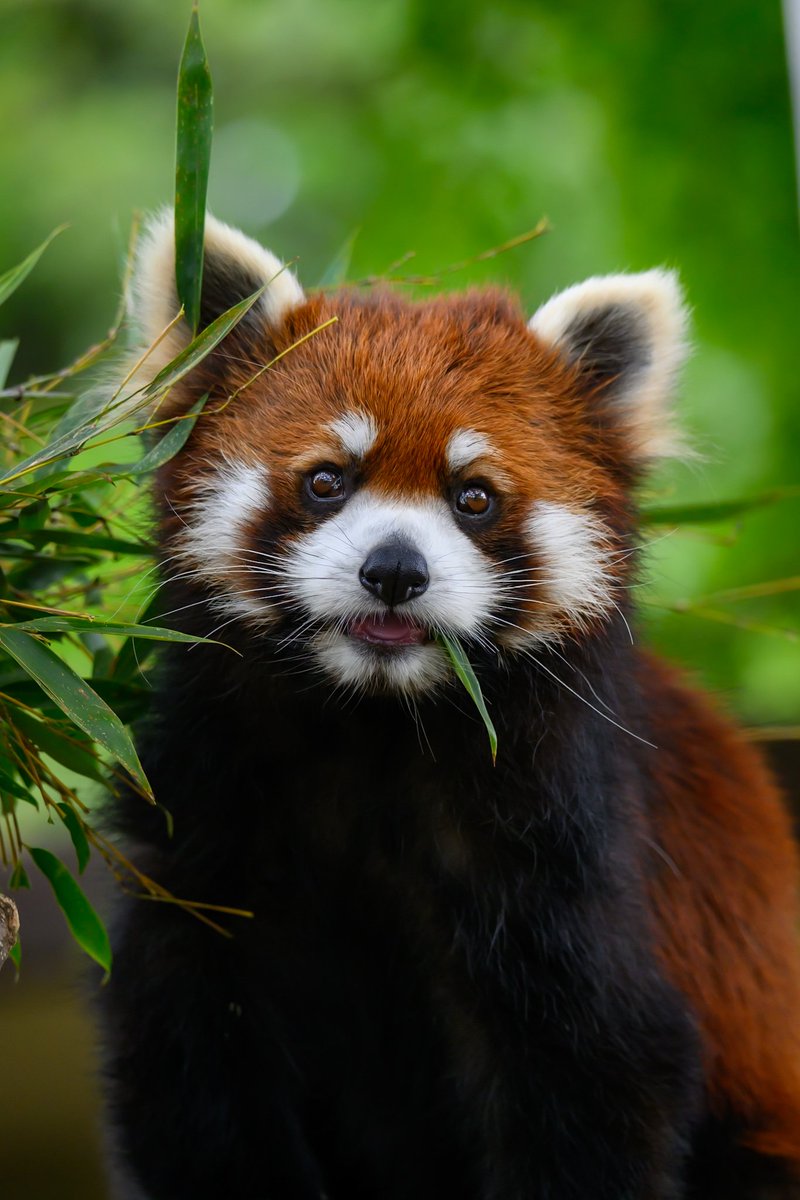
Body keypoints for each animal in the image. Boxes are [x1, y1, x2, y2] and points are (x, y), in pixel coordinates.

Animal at [100, 216, 800, 1200]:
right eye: (327, 480)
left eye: (474, 498)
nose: (395, 569)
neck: (378, 728)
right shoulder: (205, 842)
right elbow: (201, 1083)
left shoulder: (567, 871)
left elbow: (597, 1085)